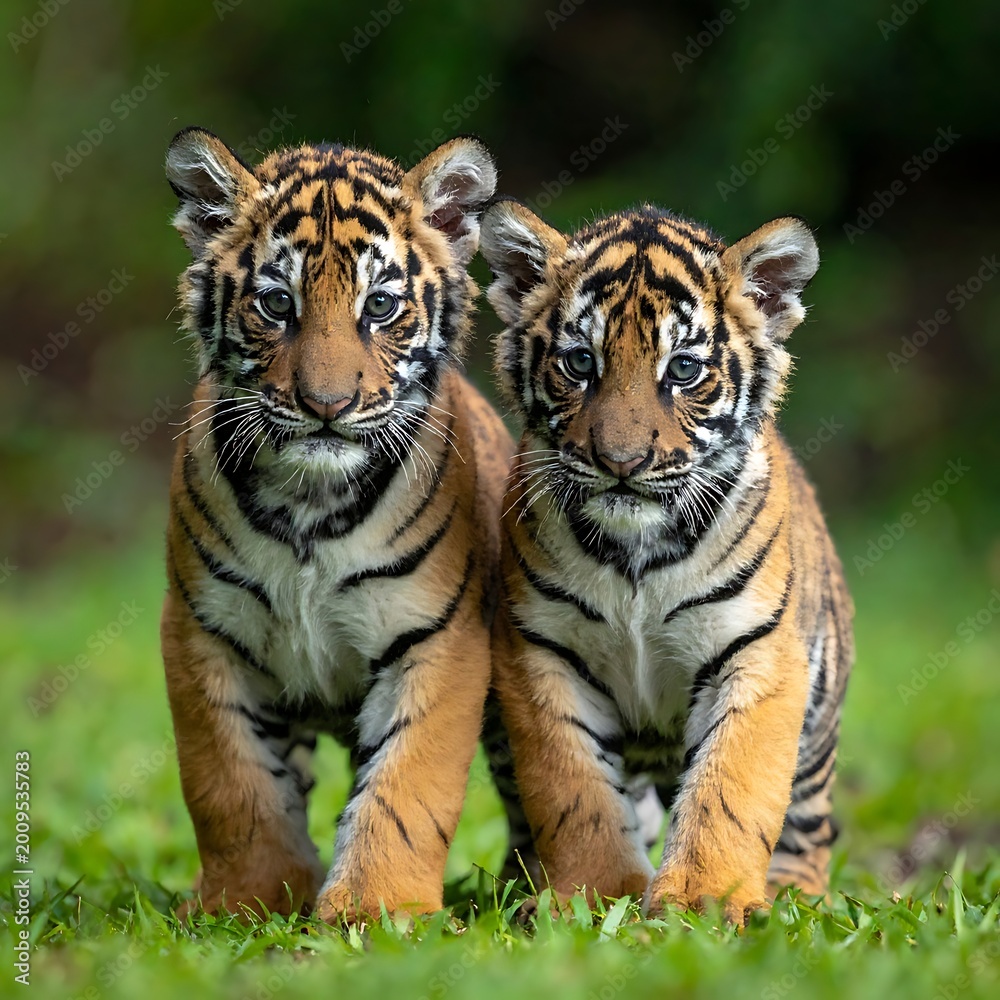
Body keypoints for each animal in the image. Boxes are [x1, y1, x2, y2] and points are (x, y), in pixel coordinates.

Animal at [160, 126, 513, 921]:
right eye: (274, 303)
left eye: (379, 306)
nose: (326, 405)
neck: (309, 506)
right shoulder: (202, 634)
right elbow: (230, 785)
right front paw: (247, 902)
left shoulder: (438, 639)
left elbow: (407, 786)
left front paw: (374, 909)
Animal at [479, 199, 854, 924]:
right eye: (579, 362)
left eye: (682, 370)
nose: (622, 463)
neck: (636, 552)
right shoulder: (541, 655)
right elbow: (572, 791)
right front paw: (594, 896)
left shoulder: (757, 655)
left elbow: (729, 791)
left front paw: (706, 903)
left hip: (819, 724)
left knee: (809, 827)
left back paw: (795, 897)